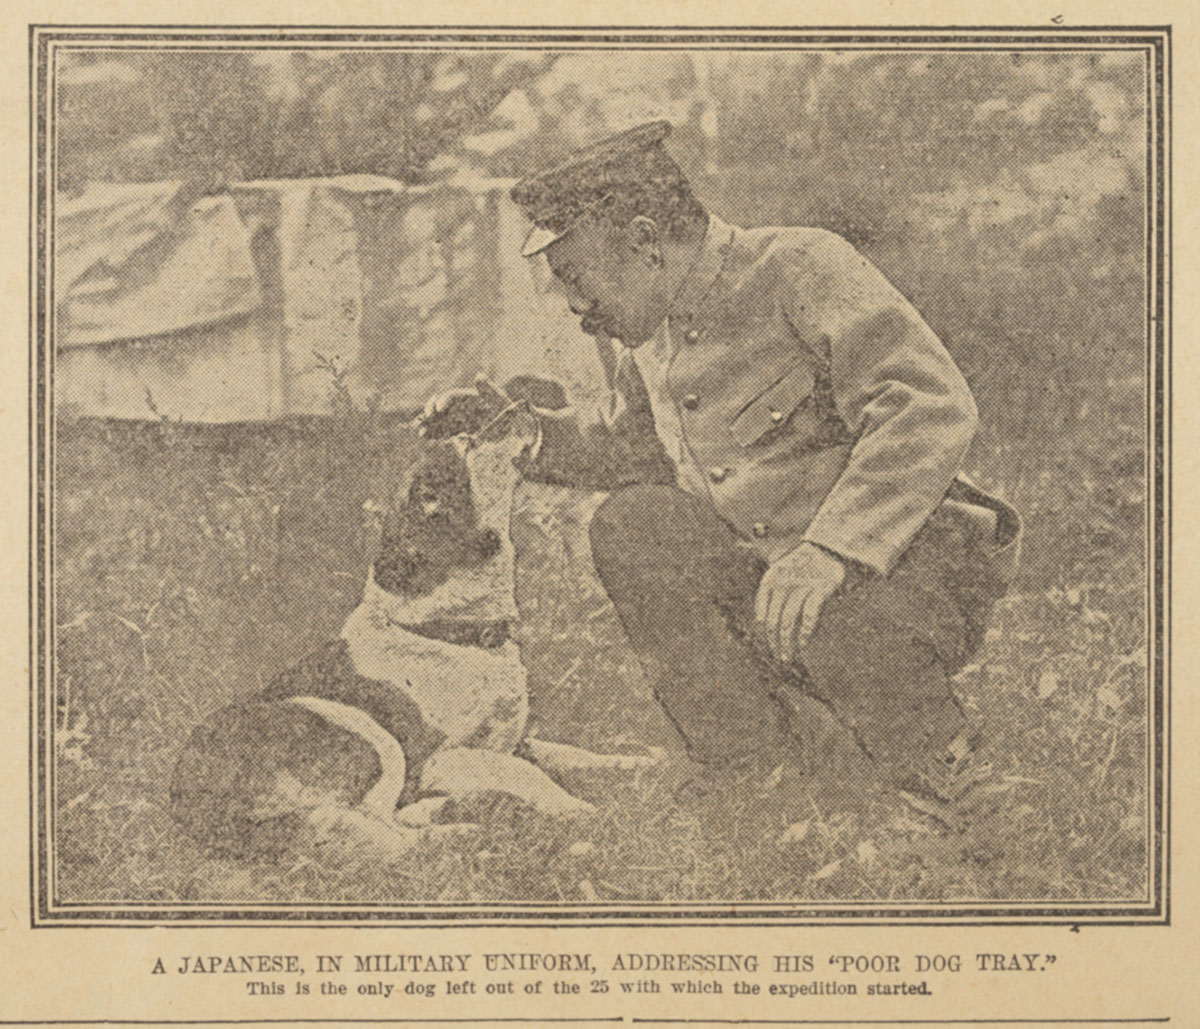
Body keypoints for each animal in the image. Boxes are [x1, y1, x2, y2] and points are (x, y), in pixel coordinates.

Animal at [169, 398, 657, 858]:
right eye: (467, 443)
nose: (520, 405)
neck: (448, 631)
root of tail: (188, 805)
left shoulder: (509, 741)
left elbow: (568, 752)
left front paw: (634, 762)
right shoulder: (437, 759)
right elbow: (525, 771)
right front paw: (576, 808)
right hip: (362, 730)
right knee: (379, 831)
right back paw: (458, 832)